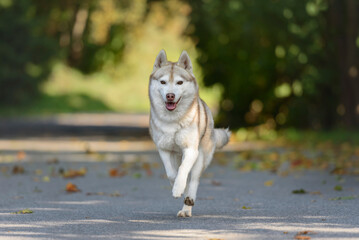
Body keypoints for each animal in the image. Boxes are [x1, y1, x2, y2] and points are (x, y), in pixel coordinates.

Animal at [149, 50, 231, 218]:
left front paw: (179, 188)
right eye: (163, 82)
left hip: (201, 157)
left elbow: (183, 171)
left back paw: (188, 202)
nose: (170, 95)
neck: (173, 121)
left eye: (179, 82)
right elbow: (171, 173)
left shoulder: (191, 150)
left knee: (193, 180)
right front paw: (176, 186)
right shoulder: (163, 149)